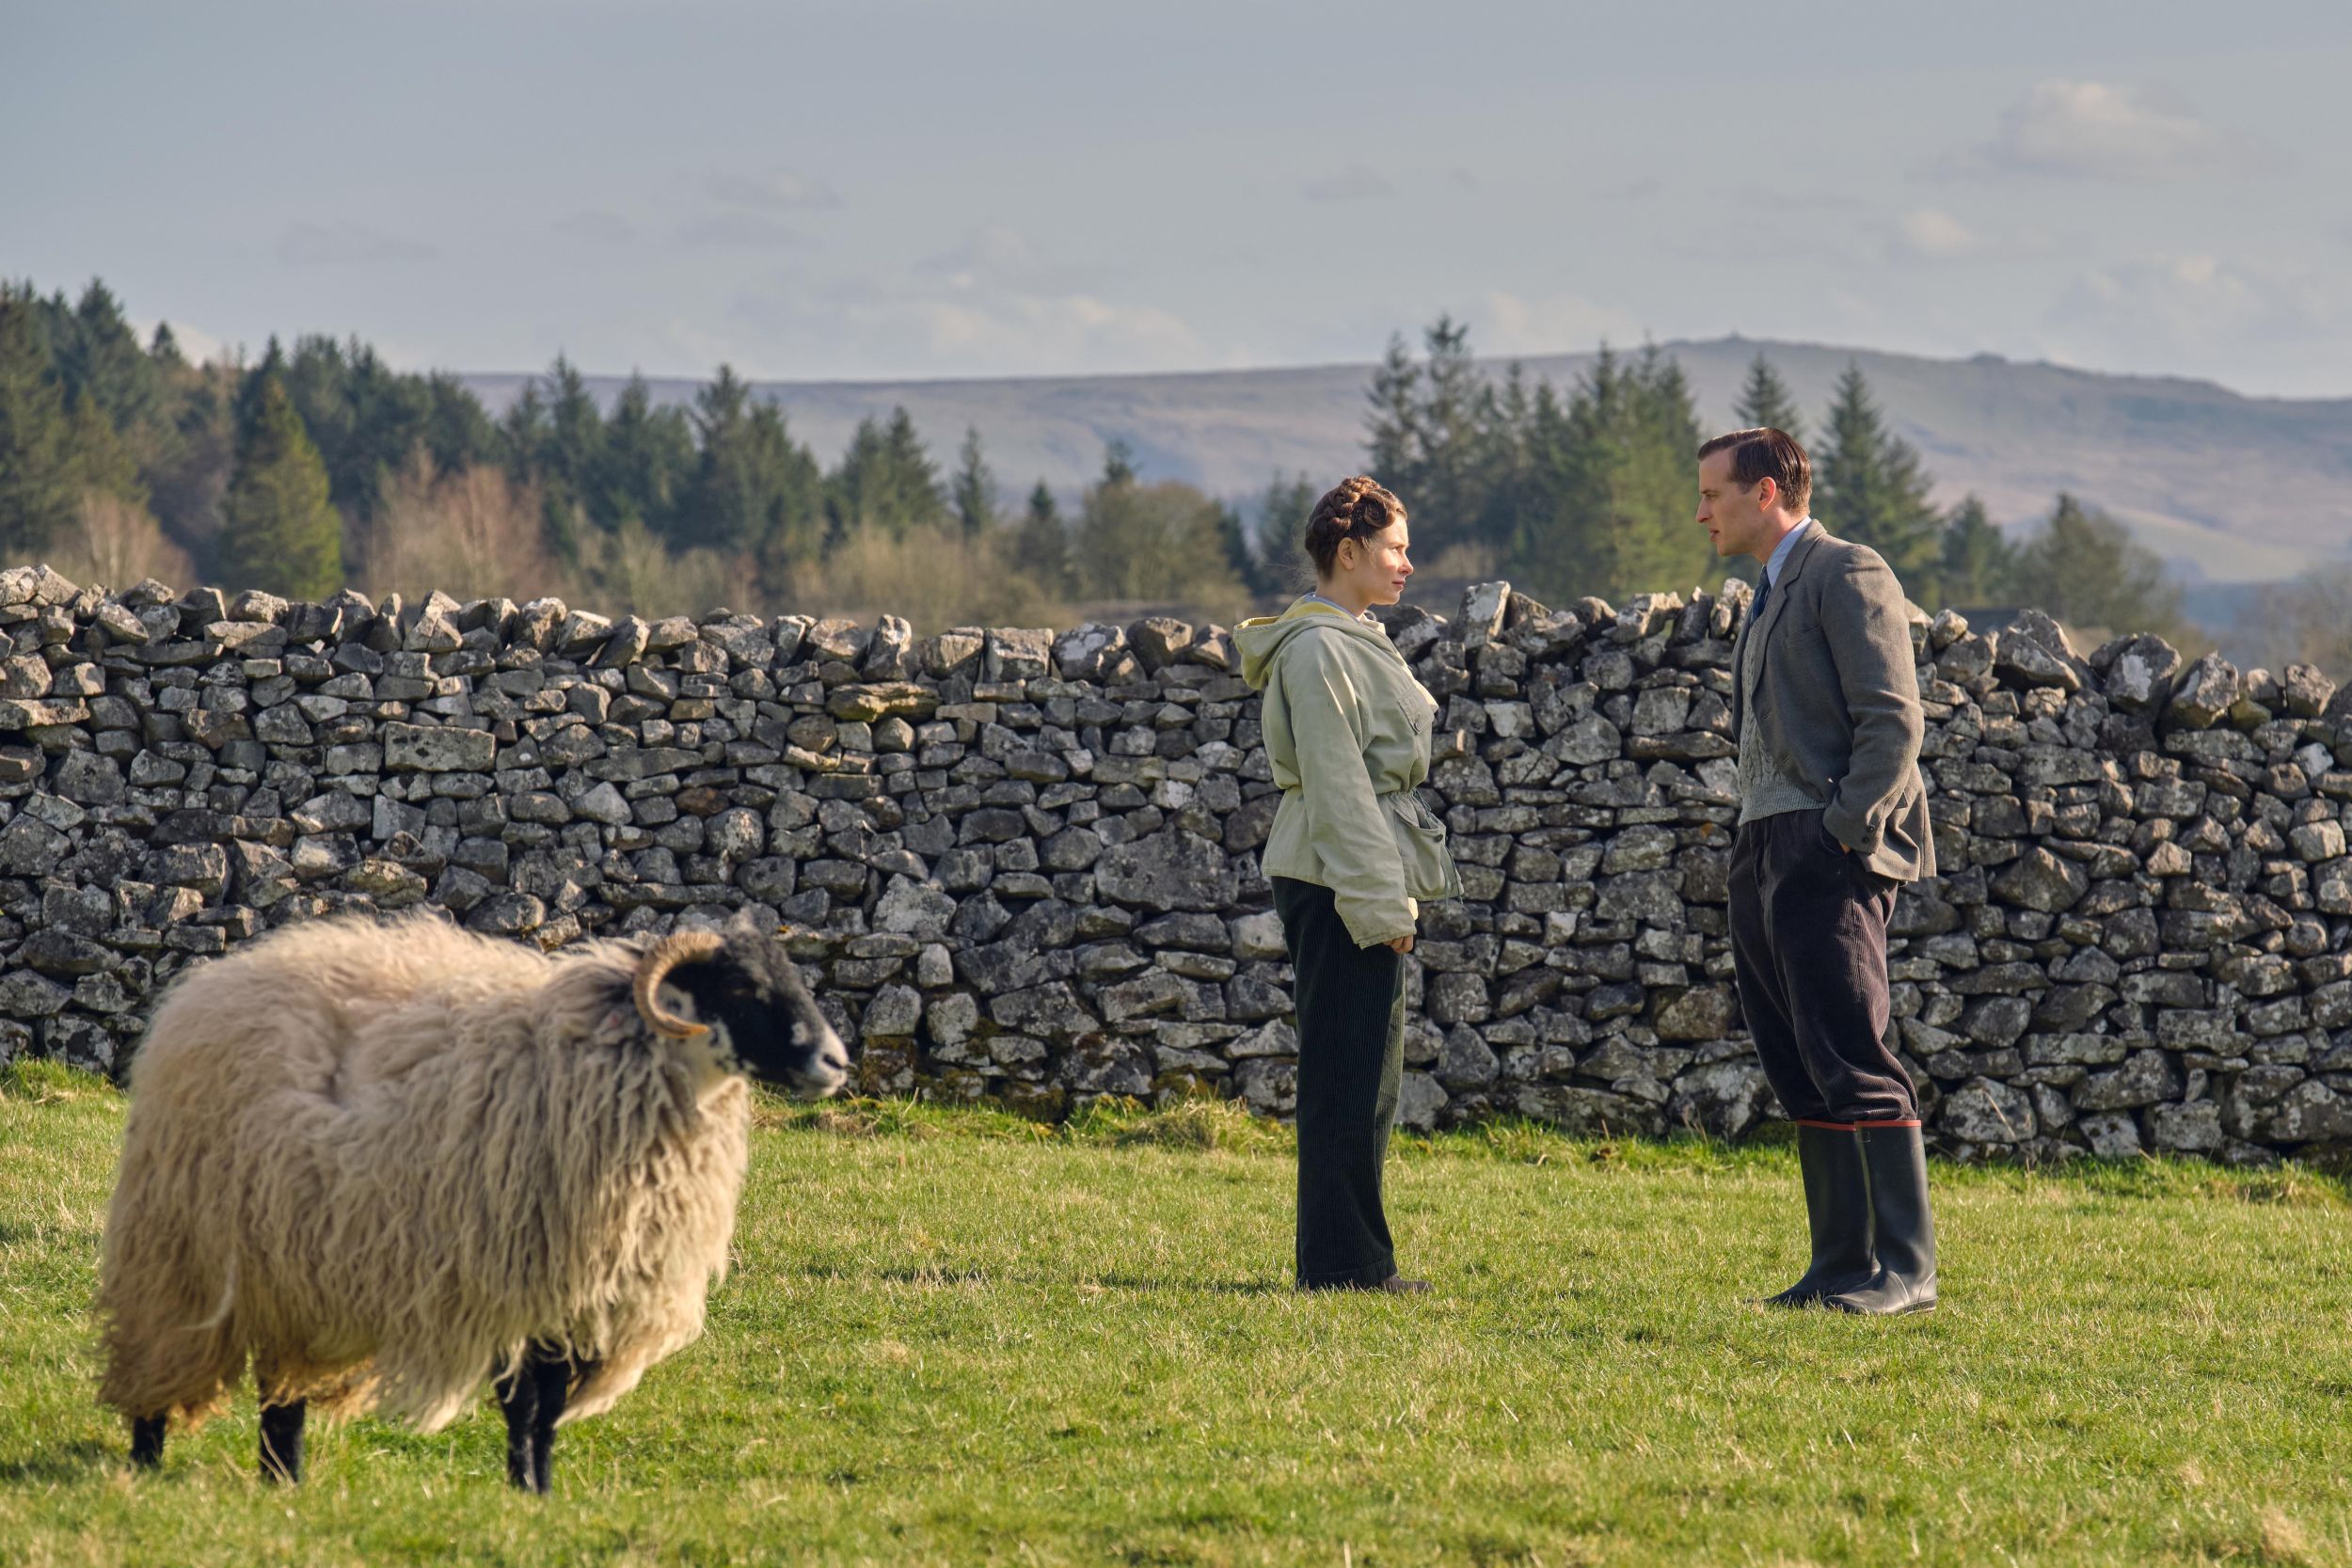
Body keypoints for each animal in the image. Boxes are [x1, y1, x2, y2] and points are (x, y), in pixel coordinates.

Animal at [103, 911, 856, 1495]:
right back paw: (146, 1465)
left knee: (280, 1394)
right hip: (181, 1247)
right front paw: (530, 1491)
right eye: (741, 985)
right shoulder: (528, 1277)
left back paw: (282, 1482)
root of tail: (201, 990)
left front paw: (536, 1493)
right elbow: (529, 1409)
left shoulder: (572, 1294)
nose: (837, 1062)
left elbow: (543, 1410)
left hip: (287, 1261)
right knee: (165, 1354)